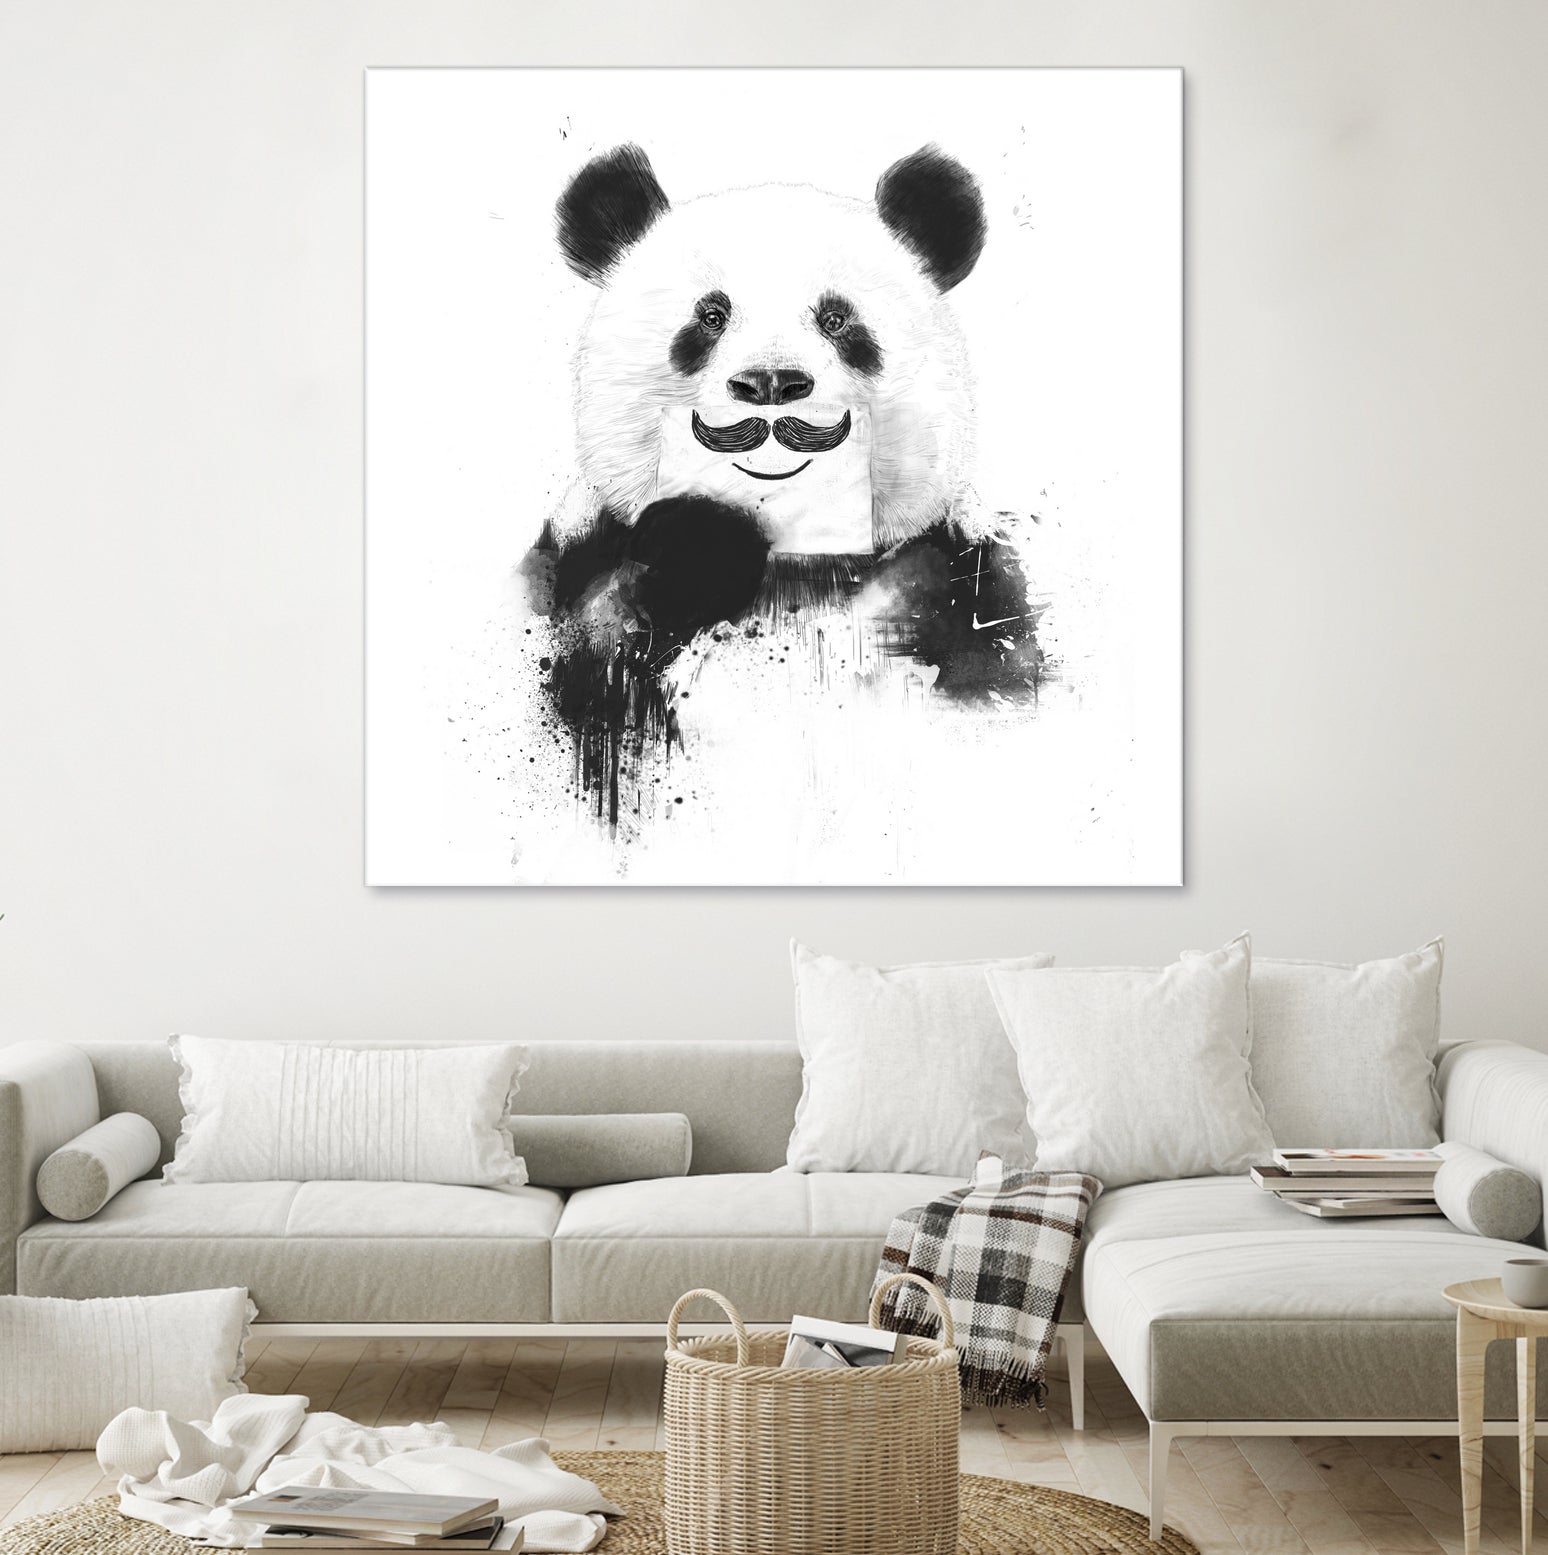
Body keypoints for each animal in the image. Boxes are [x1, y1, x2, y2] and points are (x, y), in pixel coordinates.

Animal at [520, 142, 1044, 835]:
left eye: (837, 319)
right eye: (710, 317)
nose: (771, 383)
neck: (792, 563)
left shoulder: (956, 573)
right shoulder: (575, 566)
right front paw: (698, 546)